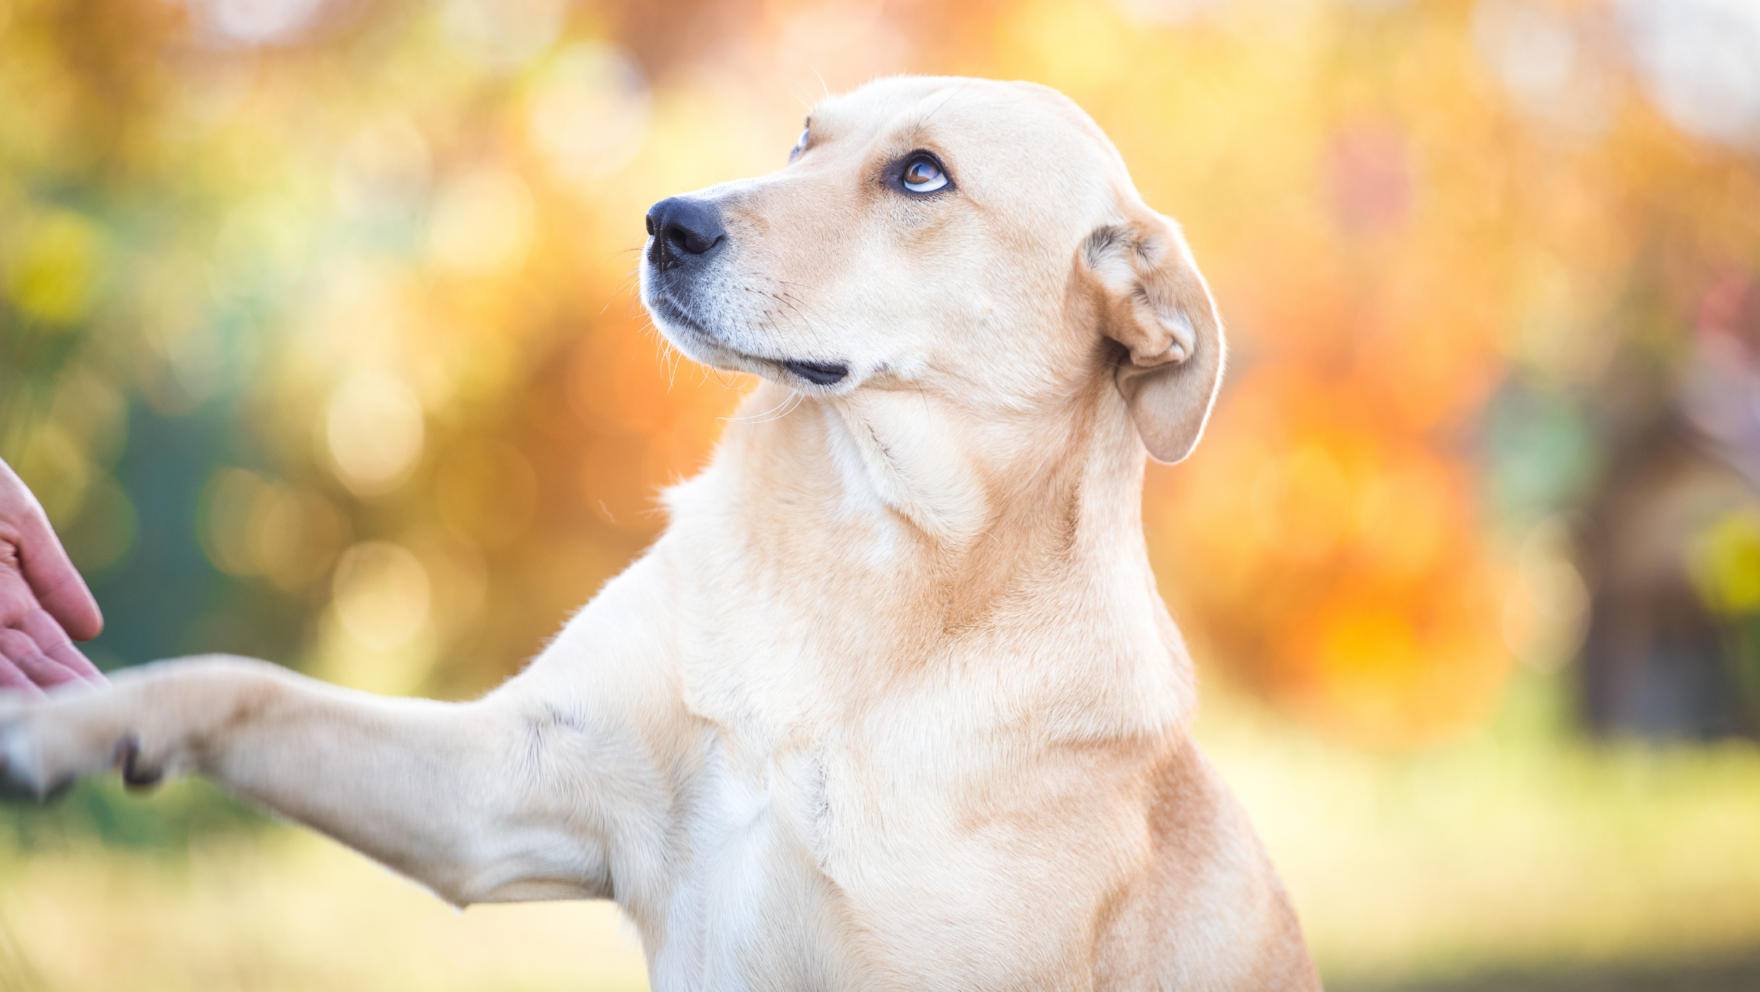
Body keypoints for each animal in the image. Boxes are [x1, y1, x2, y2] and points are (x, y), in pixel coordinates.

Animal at [0, 79, 1323, 992]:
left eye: (920, 175)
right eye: (802, 138)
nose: (666, 221)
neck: (857, 554)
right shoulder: (499, 790)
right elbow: (241, 682)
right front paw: (68, 722)